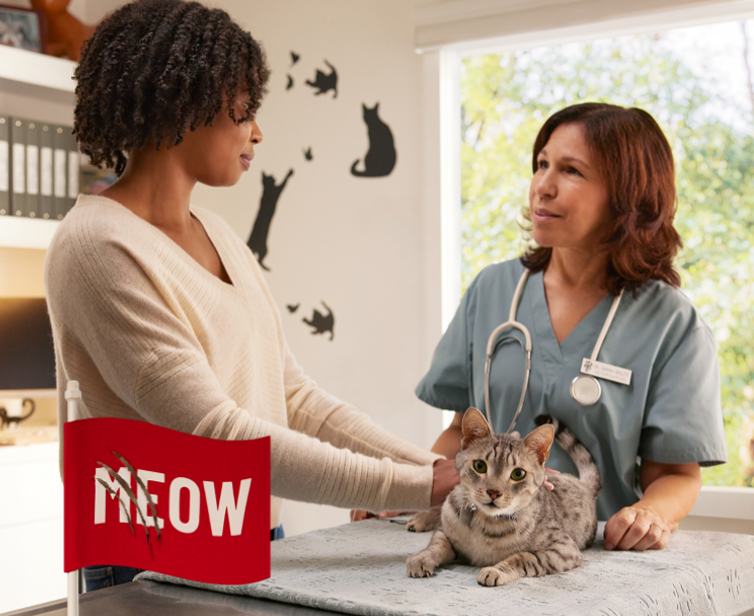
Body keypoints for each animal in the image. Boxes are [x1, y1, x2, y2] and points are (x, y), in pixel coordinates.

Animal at [406, 410, 600, 588]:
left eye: (518, 474)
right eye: (480, 465)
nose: (493, 492)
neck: (484, 524)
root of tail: (582, 483)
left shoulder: (563, 549)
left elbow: (525, 557)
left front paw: (496, 570)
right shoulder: (446, 531)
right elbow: (437, 544)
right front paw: (421, 558)